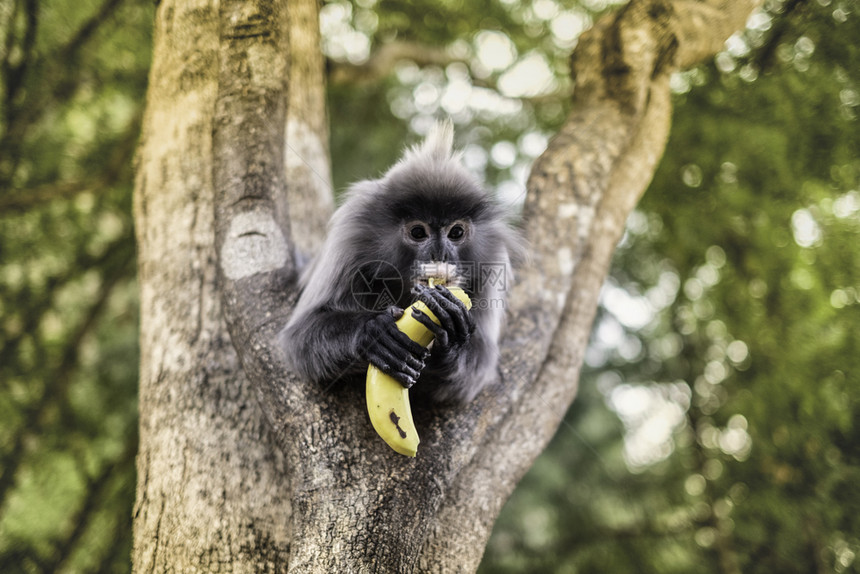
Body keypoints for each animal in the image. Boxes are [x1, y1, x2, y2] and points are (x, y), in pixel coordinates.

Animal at [282, 121, 524, 402]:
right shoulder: (349, 242)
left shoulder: (492, 263)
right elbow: (298, 339)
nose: (439, 254)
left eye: (456, 233)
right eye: (418, 232)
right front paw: (374, 334)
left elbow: (476, 368)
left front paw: (453, 337)